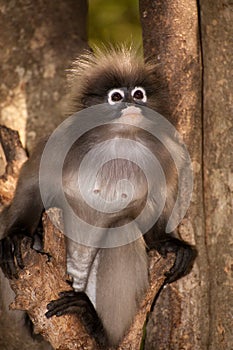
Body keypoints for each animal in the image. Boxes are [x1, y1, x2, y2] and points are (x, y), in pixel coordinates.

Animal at [0, 45, 196, 348]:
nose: (131, 103)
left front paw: (169, 244)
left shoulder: (167, 153)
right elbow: (32, 186)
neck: (120, 138)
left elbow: (159, 206)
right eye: (116, 96)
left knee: (121, 230)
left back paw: (99, 328)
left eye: (138, 94)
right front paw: (18, 237)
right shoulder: (62, 139)